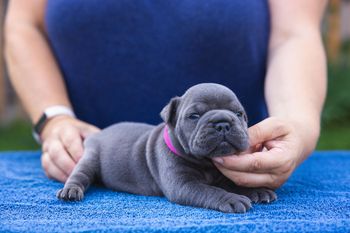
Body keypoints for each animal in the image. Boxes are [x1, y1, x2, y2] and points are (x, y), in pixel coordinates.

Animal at [57, 83, 276, 213]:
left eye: (239, 114)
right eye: (194, 116)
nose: (222, 123)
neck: (205, 163)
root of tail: (99, 134)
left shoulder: (220, 176)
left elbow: (233, 184)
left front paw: (257, 190)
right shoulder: (183, 185)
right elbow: (210, 191)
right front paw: (231, 199)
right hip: (90, 158)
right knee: (79, 175)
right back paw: (71, 191)